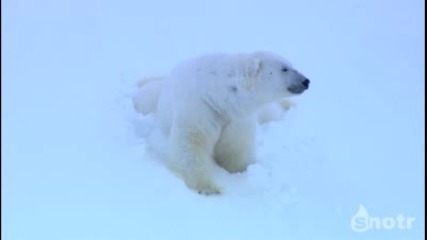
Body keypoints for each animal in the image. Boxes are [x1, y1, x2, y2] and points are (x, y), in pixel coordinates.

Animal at [132, 51, 310, 194]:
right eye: (284, 68)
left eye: (290, 64)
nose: (306, 81)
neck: (220, 96)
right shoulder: (200, 108)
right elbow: (190, 146)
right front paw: (209, 188)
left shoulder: (237, 119)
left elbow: (236, 149)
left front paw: (243, 171)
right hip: (151, 99)